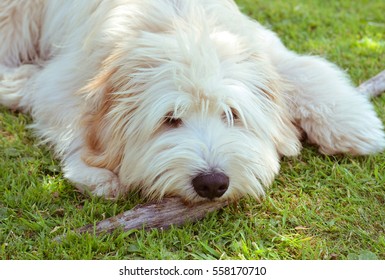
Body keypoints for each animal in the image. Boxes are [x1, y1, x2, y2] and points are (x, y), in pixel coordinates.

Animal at [0, 0, 384, 201]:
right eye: (170, 119)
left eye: (232, 115)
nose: (212, 184)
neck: (184, 27)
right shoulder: (65, 80)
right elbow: (73, 118)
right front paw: (96, 172)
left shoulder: (261, 48)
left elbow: (306, 69)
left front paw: (355, 125)